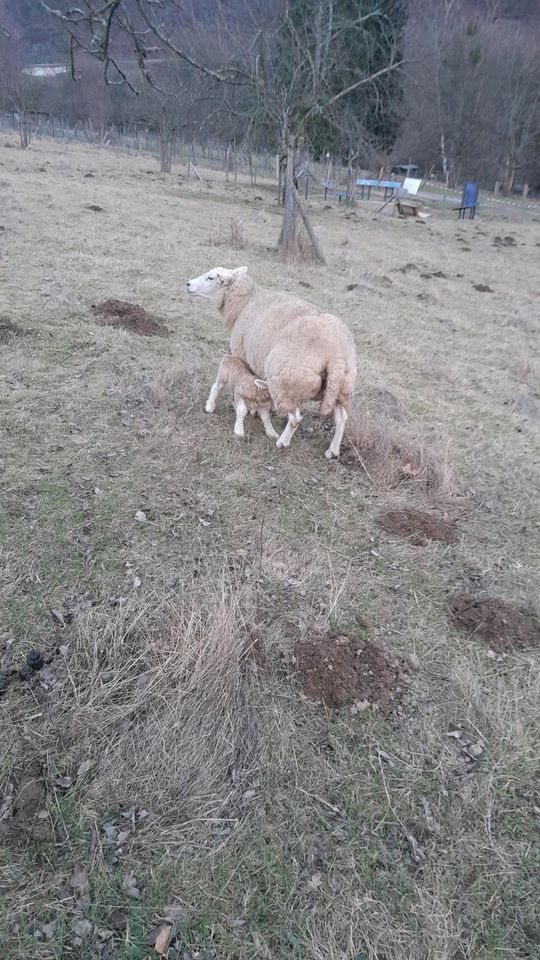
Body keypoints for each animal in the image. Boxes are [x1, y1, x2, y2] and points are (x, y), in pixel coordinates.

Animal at [188, 262, 356, 458]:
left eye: (211, 278)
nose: (188, 284)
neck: (245, 303)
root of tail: (336, 354)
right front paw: (268, 408)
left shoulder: (244, 356)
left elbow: (247, 380)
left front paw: (252, 409)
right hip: (341, 388)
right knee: (342, 418)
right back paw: (332, 451)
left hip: (287, 381)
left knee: (295, 418)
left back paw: (282, 442)